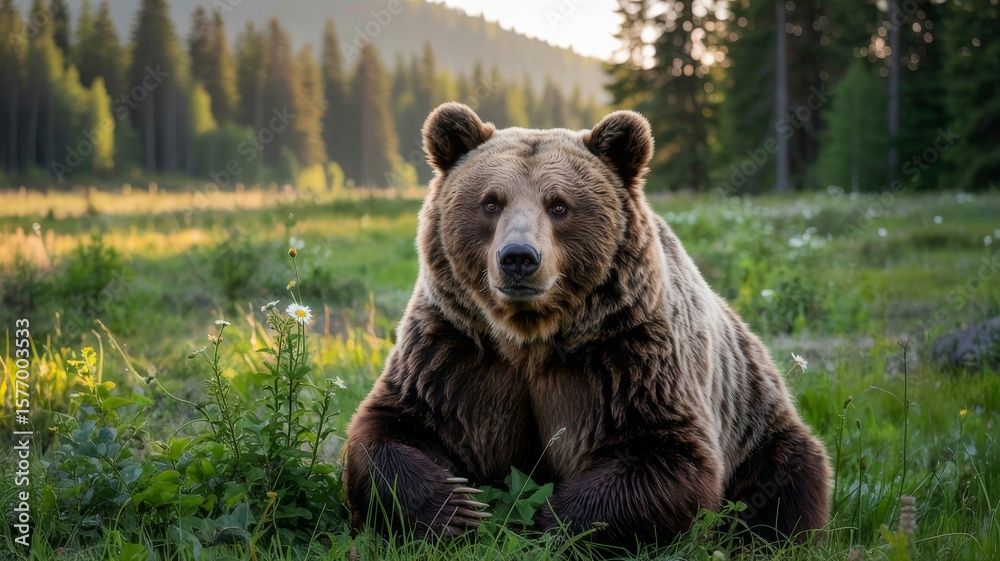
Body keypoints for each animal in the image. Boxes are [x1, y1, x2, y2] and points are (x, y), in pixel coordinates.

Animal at [342, 102, 831, 548]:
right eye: (490, 202)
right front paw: (456, 509)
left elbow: (669, 453)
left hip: (758, 421)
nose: (519, 258)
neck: (529, 337)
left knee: (787, 478)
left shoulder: (627, 354)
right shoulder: (454, 350)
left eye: (559, 205)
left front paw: (550, 522)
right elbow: (391, 427)